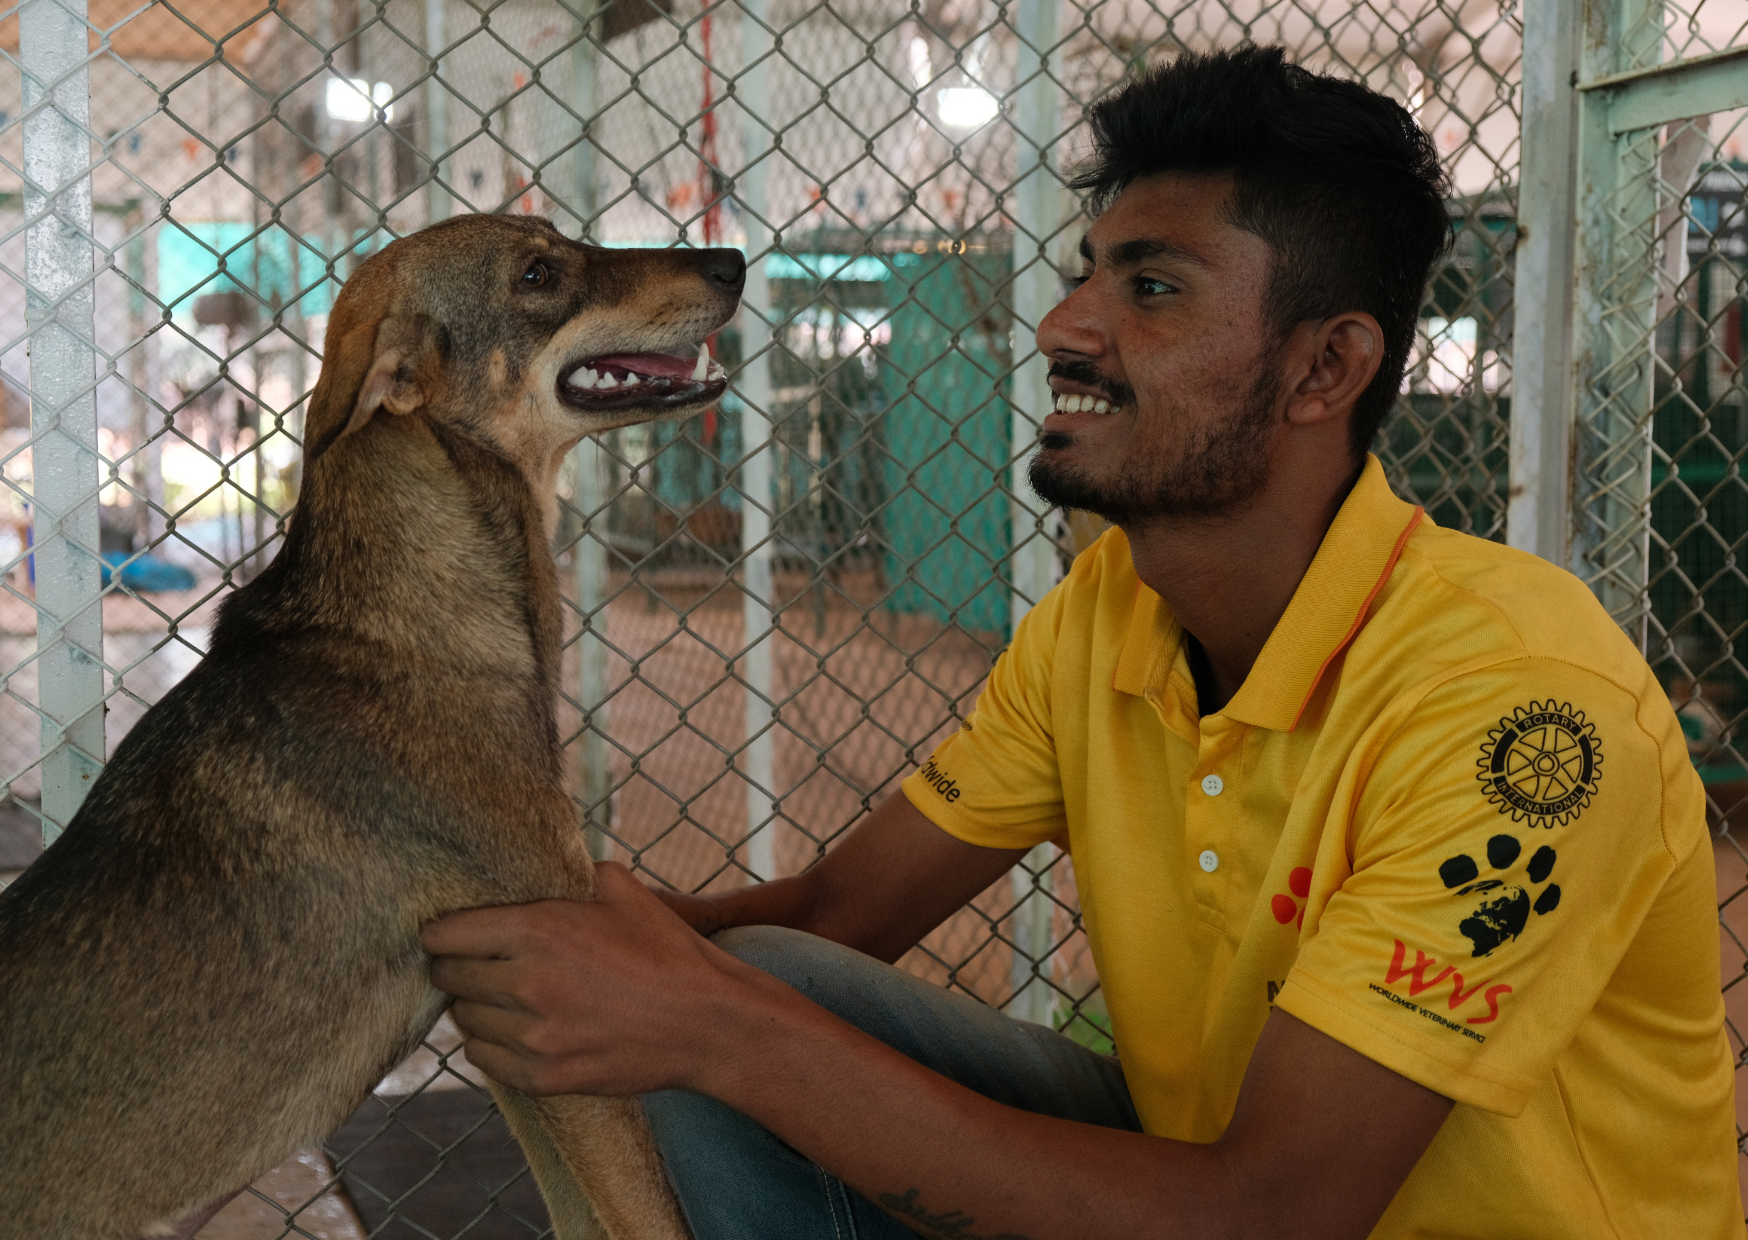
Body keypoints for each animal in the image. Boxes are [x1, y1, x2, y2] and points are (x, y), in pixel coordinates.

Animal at [0, 217, 741, 1238]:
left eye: (559, 240)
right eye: (537, 273)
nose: (736, 263)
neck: (412, 628)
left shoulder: (510, 1031)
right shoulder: (567, 1021)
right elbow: (650, 1218)